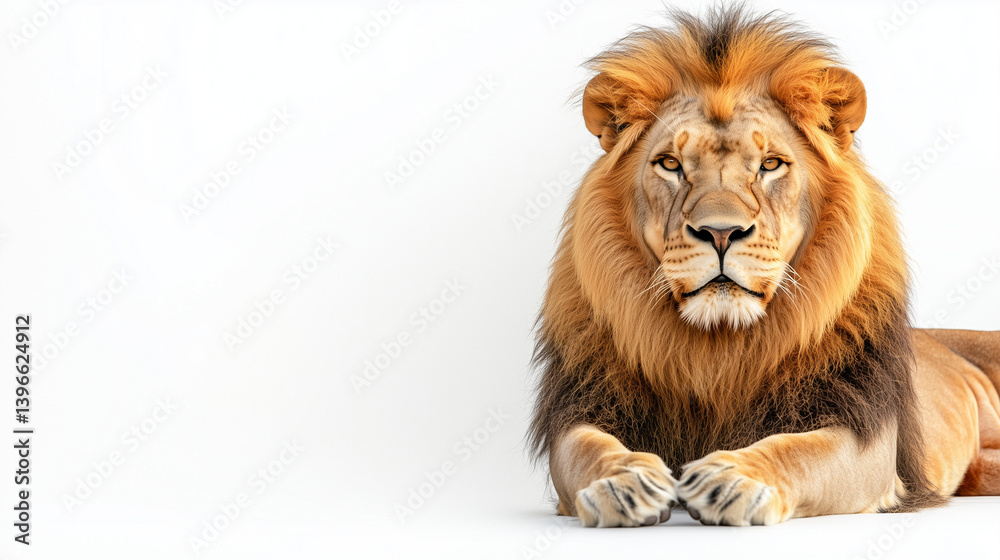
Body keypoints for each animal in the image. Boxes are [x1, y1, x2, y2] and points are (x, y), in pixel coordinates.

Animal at [528, 6, 1000, 527]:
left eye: (770, 164)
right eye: (670, 164)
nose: (720, 233)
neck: (719, 347)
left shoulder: (865, 436)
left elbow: (798, 450)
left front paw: (733, 477)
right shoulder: (582, 409)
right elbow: (588, 448)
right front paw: (622, 481)